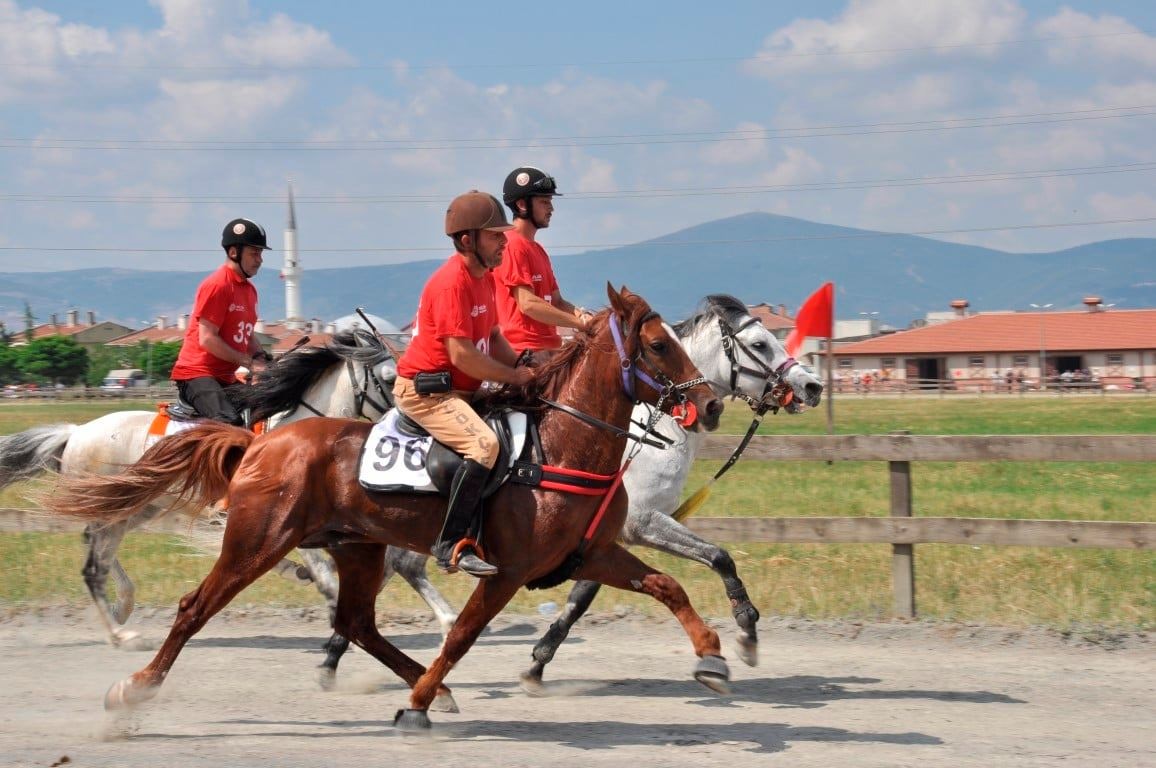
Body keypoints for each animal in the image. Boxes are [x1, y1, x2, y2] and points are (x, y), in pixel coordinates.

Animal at [0, 328, 457, 647]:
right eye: (389, 378)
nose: (418, 424)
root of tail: (74, 433)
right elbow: (329, 576)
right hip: (116, 509)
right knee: (93, 567)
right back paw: (121, 635)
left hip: (135, 508)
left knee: (98, 553)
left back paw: (124, 605)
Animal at [52, 288, 730, 730]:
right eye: (656, 344)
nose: (709, 407)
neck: (560, 447)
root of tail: (263, 442)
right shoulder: (506, 571)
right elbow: (461, 633)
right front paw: (418, 702)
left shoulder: (592, 553)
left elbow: (668, 586)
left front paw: (714, 656)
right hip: (256, 542)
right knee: (194, 606)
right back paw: (134, 685)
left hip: (357, 547)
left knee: (356, 622)